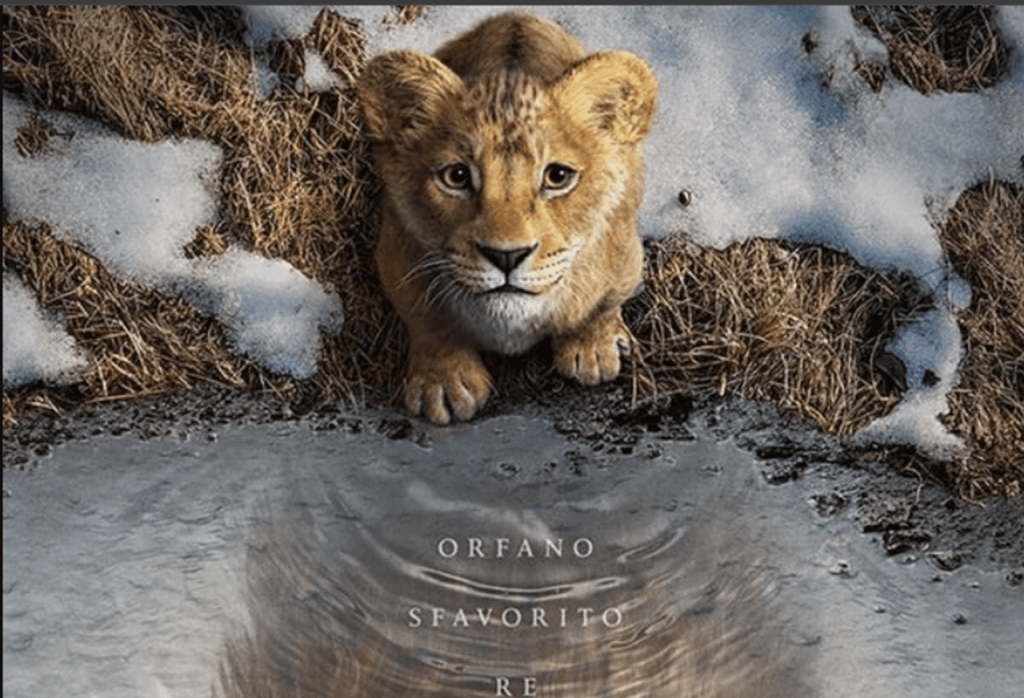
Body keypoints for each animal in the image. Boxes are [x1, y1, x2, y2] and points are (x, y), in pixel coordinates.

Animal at [357, 12, 657, 424]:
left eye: (557, 176)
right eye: (456, 176)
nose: (506, 256)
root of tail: (516, 15)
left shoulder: (625, 255)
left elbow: (602, 304)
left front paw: (593, 349)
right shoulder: (397, 254)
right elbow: (428, 320)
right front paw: (444, 384)